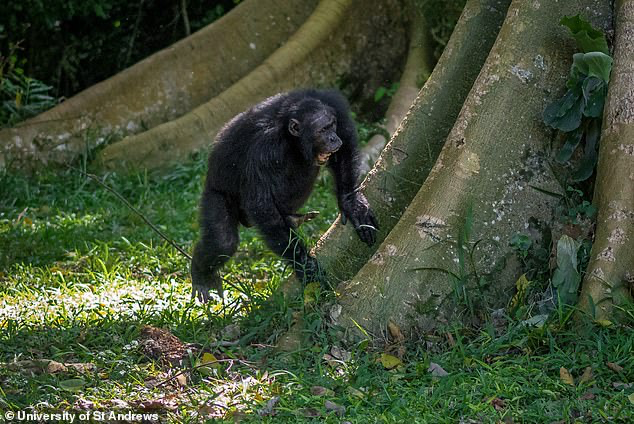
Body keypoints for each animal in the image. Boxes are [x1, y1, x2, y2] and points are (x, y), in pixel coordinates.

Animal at [189, 88, 376, 302]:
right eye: (322, 130)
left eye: (332, 125)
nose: (333, 139)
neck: (290, 134)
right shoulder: (263, 151)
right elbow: (261, 205)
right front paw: (304, 264)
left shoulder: (333, 103)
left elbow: (345, 143)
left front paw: (351, 203)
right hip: (214, 193)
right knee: (222, 241)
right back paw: (201, 276)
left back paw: (292, 218)